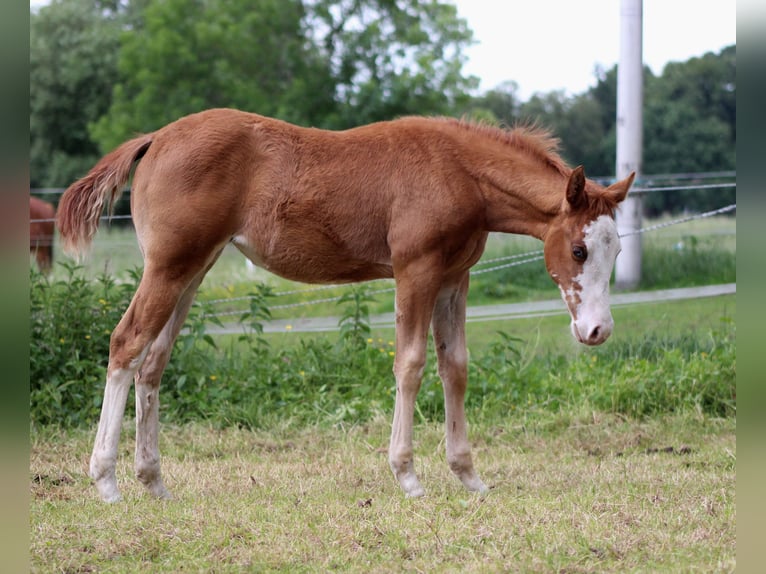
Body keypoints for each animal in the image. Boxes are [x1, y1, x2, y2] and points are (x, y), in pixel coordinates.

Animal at [57, 108, 634, 502]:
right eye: (579, 250)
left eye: (618, 250)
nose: (598, 330)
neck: (459, 171)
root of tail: (155, 138)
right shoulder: (416, 271)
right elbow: (410, 364)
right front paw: (408, 476)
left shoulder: (455, 277)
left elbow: (455, 367)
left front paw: (469, 476)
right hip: (169, 267)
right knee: (126, 344)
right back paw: (106, 482)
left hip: (192, 270)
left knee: (152, 362)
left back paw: (154, 483)